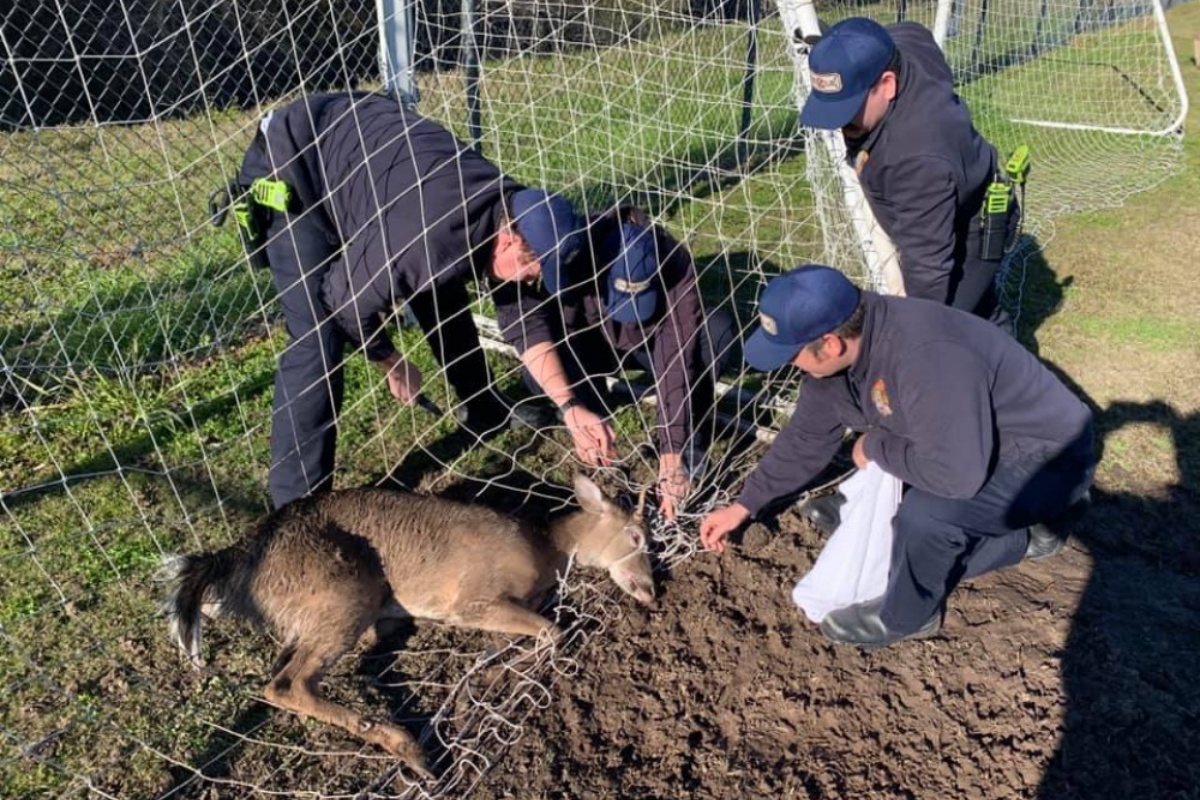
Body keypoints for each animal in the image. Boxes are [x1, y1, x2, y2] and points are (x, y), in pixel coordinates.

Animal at [158, 474, 652, 777]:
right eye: (636, 535)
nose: (650, 589)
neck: (547, 548)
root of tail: (241, 553)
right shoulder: (470, 598)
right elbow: (553, 630)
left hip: (324, 612)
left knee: (288, 670)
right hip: (344, 591)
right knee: (286, 683)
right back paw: (410, 749)